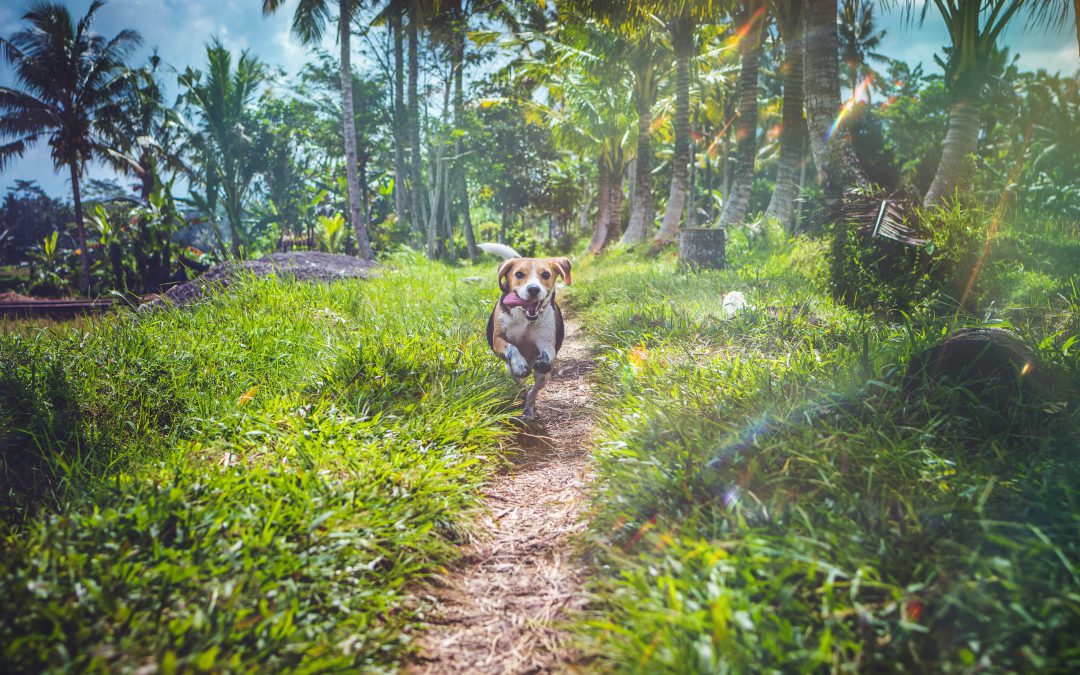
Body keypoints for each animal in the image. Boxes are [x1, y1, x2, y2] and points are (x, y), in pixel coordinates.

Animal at [477, 241, 570, 419]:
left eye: (546, 275)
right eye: (519, 274)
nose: (533, 289)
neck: (525, 318)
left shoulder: (546, 342)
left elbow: (548, 352)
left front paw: (544, 359)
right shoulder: (498, 340)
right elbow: (512, 347)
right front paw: (520, 364)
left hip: (543, 377)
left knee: (534, 391)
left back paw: (529, 408)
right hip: (510, 370)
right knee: (522, 386)